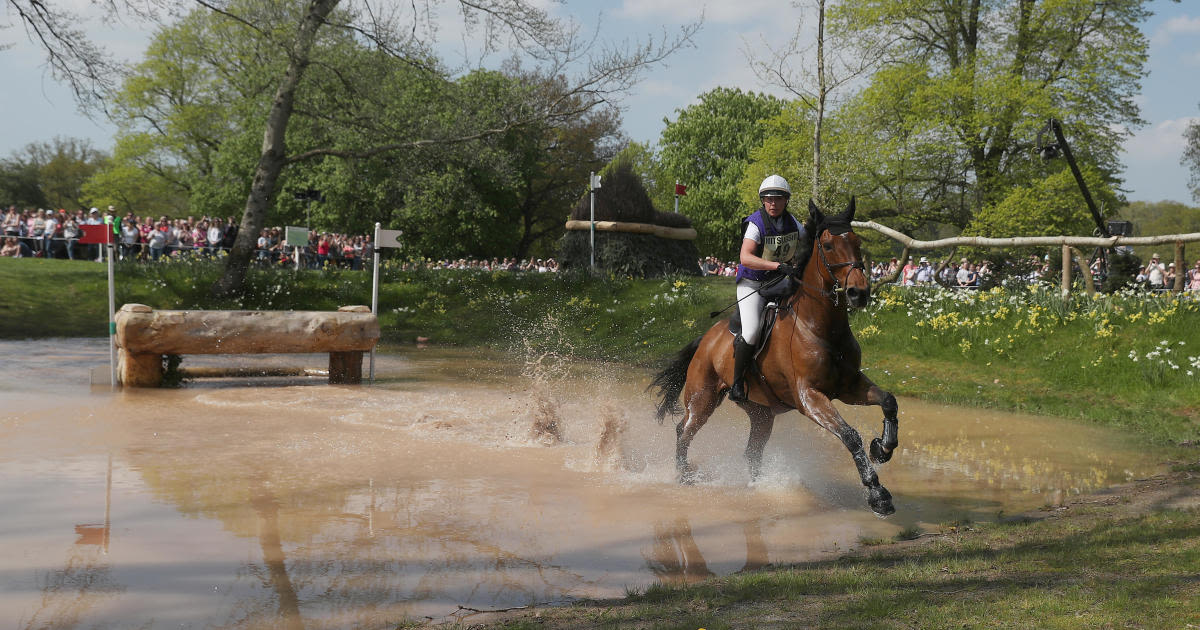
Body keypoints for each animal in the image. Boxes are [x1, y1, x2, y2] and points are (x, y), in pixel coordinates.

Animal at [648, 198, 902, 516]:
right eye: (828, 245)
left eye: (857, 242)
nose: (859, 293)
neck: (820, 327)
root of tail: (705, 339)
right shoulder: (809, 397)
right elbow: (850, 435)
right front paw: (877, 493)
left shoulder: (849, 386)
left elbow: (889, 401)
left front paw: (882, 448)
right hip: (702, 398)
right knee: (684, 430)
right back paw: (684, 475)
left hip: (761, 413)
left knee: (751, 451)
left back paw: (759, 487)